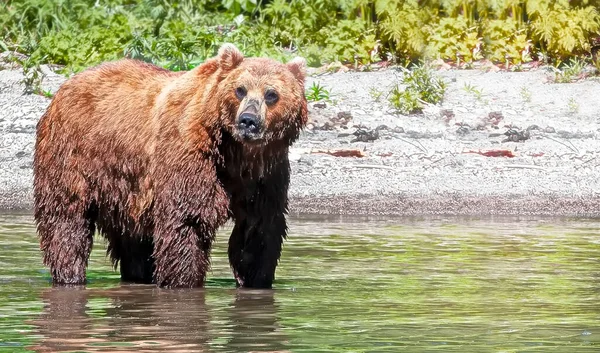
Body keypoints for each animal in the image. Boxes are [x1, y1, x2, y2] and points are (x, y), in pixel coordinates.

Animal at [32, 42, 308, 288]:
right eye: (240, 89)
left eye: (271, 94)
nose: (248, 120)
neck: (236, 153)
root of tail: (66, 85)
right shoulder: (189, 153)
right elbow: (188, 220)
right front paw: (184, 281)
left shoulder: (266, 174)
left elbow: (258, 228)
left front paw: (256, 279)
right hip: (73, 155)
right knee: (66, 220)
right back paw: (70, 274)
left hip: (127, 189)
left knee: (134, 240)